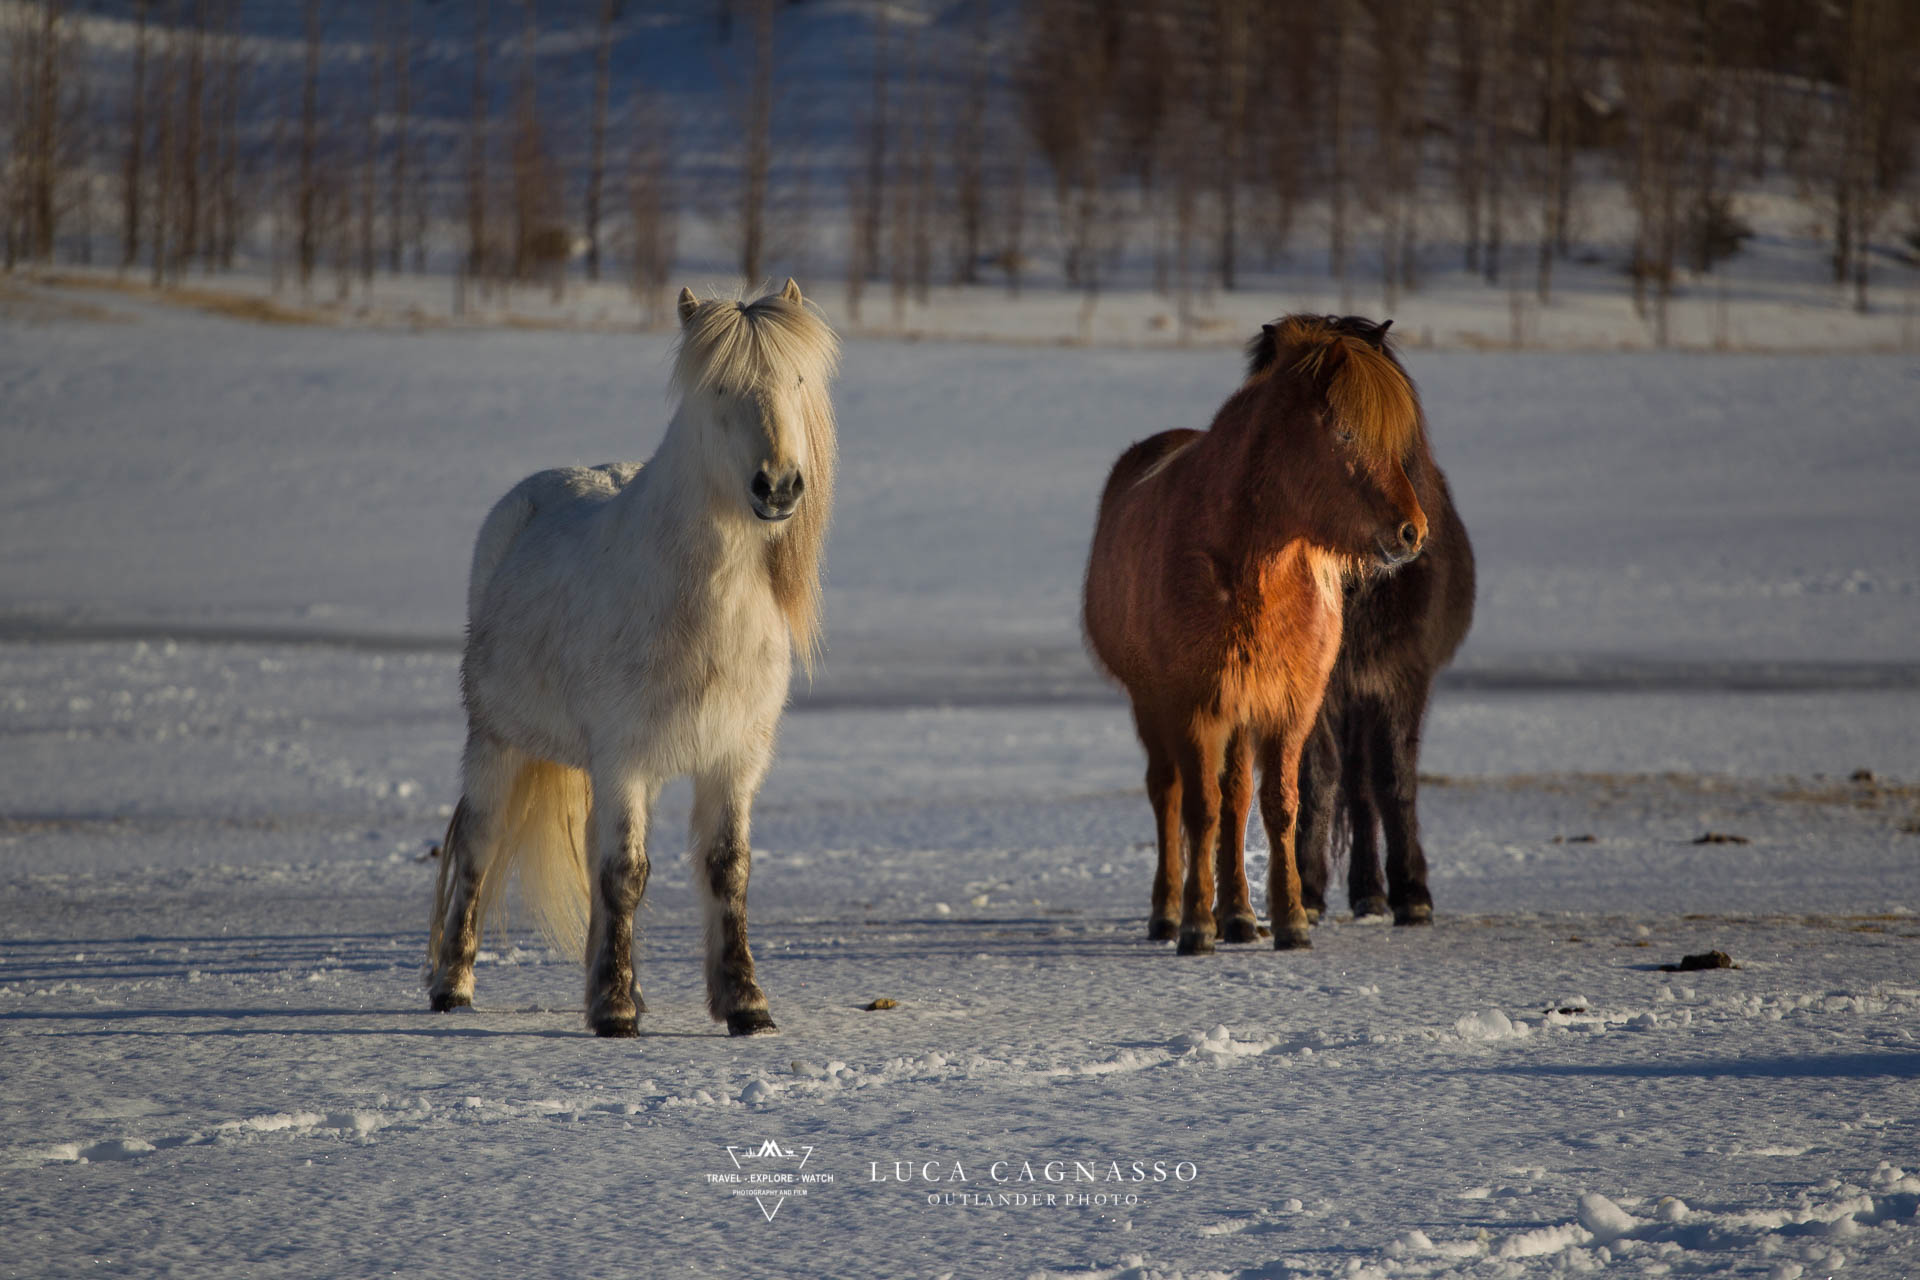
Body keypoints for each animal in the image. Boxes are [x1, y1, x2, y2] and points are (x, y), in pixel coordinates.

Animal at [426, 279, 839, 1037]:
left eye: (796, 381)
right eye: (716, 387)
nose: (778, 486)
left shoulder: (733, 760)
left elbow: (725, 868)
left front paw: (744, 1004)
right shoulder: (625, 760)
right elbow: (625, 874)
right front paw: (617, 1011)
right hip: (496, 744)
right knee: (476, 847)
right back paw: (452, 987)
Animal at [1083, 314, 1430, 955]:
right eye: (1346, 433)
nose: (1412, 532)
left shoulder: (1289, 707)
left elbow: (1276, 807)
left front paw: (1289, 920)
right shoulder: (1194, 706)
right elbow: (1199, 809)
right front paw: (1196, 926)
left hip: (1242, 713)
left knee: (1237, 798)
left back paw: (1241, 916)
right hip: (1155, 706)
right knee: (1169, 795)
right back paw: (1170, 915)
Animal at [1252, 318, 1476, 926]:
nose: (1406, 533)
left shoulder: (1402, 678)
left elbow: (1394, 778)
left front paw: (1413, 894)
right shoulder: (1313, 689)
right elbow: (1316, 776)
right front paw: (1306, 889)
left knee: (1368, 786)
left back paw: (1376, 893)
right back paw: (1364, 890)